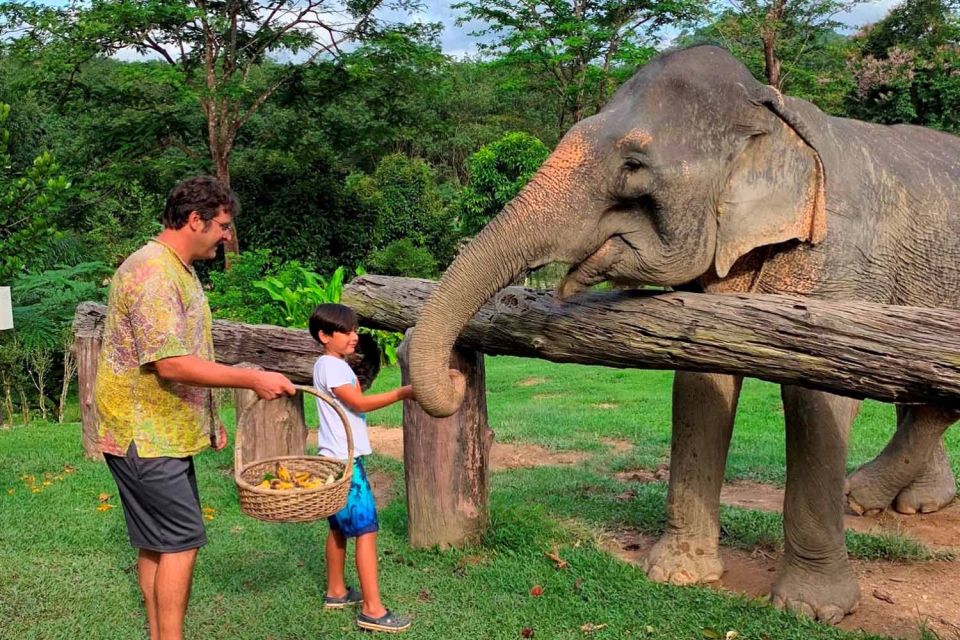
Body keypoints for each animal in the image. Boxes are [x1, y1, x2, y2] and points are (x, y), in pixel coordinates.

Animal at [406, 45, 960, 623]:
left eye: (633, 165)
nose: (455, 378)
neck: (775, 114)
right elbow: (701, 380)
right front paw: (676, 574)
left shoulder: (840, 261)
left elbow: (818, 398)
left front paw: (809, 610)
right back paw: (895, 502)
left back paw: (863, 495)